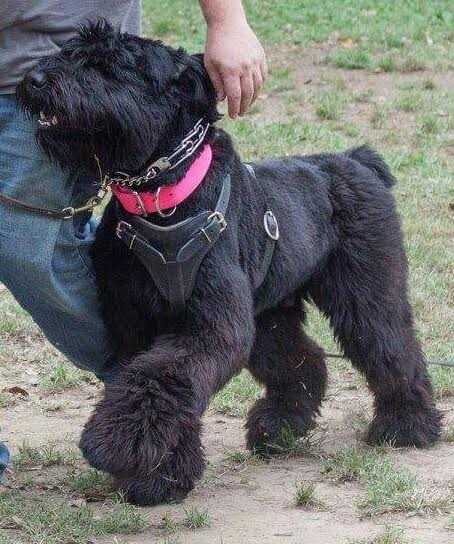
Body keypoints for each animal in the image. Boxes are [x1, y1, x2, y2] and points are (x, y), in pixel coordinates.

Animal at [16, 21, 440, 506]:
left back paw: (407, 425)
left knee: (392, 348)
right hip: (268, 316)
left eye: (111, 66)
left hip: (365, 293)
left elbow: (160, 379)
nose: (35, 80)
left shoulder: (211, 326)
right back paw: (277, 429)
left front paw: (113, 445)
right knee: (305, 361)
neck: (160, 199)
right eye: (72, 51)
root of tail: (357, 161)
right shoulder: (135, 324)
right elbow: (152, 383)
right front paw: (161, 477)